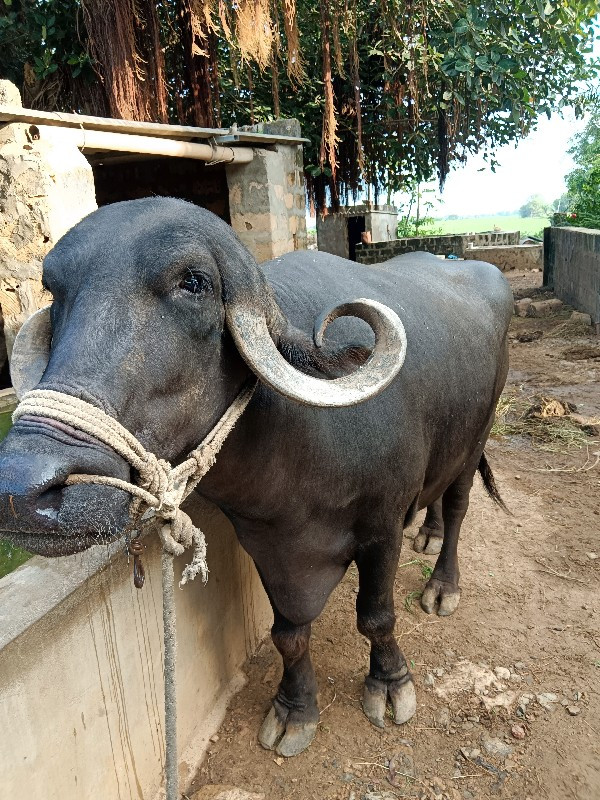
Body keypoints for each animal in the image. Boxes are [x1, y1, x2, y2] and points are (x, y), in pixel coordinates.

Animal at [0, 198, 510, 756]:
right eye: (55, 291)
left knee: (458, 506)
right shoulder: (267, 543)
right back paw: (428, 531)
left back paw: (442, 583)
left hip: (478, 436)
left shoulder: (381, 528)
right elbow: (288, 634)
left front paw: (390, 683)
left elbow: (376, 616)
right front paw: (294, 709)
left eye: (194, 282)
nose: (21, 489)